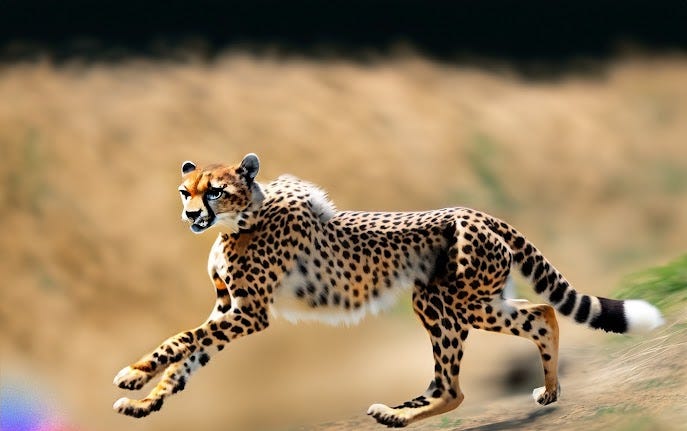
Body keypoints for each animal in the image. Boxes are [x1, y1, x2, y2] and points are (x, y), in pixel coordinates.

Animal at [113, 153, 664, 427]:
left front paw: (133, 374)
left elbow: (180, 340)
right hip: (470, 299)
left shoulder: (250, 314)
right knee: (538, 313)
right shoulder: (228, 310)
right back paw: (546, 391)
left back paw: (400, 415)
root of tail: (477, 211)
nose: (190, 215)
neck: (238, 223)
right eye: (185, 191)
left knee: (459, 383)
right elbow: (188, 359)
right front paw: (148, 402)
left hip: (447, 301)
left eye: (216, 191)